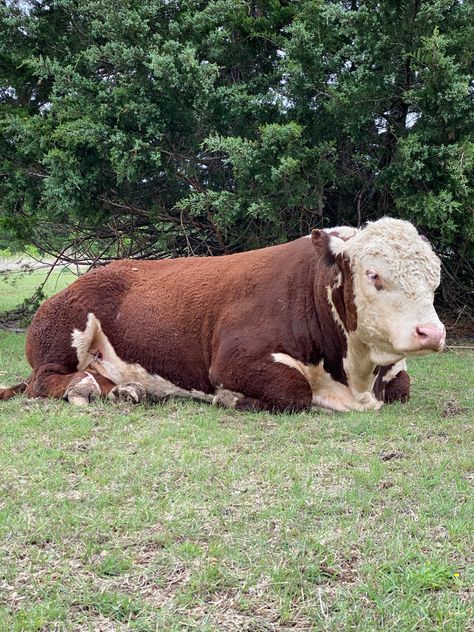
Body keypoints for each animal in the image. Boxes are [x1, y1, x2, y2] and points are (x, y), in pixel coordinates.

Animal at [0, 217, 444, 412]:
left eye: (434, 277)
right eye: (374, 275)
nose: (432, 332)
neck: (354, 376)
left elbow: (403, 386)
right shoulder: (232, 360)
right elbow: (294, 392)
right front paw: (232, 398)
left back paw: (128, 391)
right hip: (64, 331)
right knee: (44, 380)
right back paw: (86, 387)